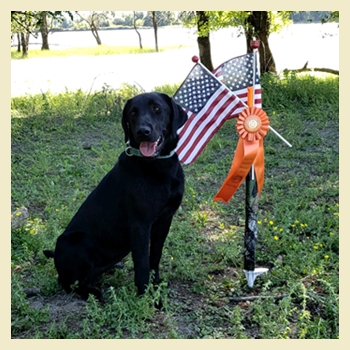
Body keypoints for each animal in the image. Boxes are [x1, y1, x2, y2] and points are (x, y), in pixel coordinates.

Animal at [43, 91, 189, 300]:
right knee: (68, 282)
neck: (157, 165)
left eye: (157, 108)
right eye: (133, 112)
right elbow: (142, 264)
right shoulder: (140, 224)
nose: (142, 131)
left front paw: (156, 285)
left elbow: (155, 256)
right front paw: (146, 296)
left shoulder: (165, 219)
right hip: (77, 240)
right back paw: (93, 294)